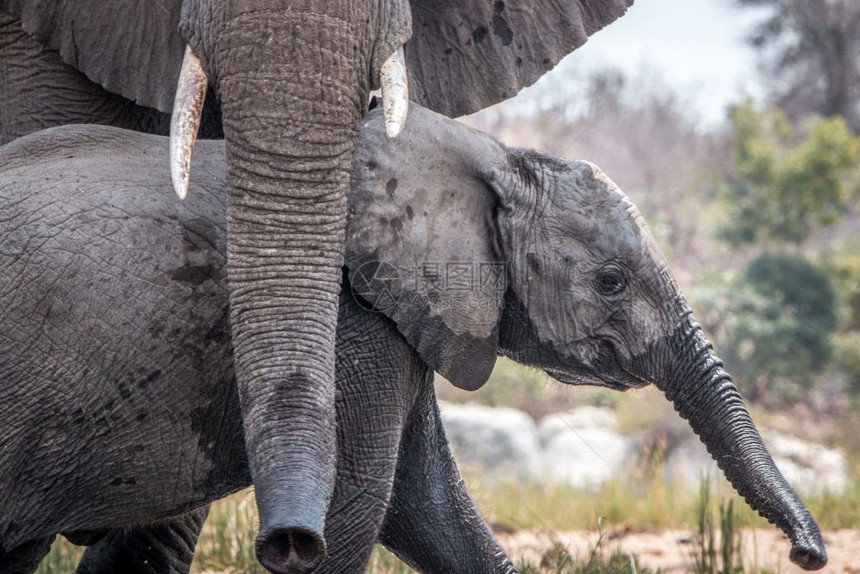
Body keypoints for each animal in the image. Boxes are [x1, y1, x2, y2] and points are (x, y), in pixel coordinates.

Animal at [0, 107, 828, 572]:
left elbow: (428, 510)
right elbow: (361, 504)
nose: (808, 553)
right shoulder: (348, 318)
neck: (489, 154)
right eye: (612, 282)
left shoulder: (407, 319)